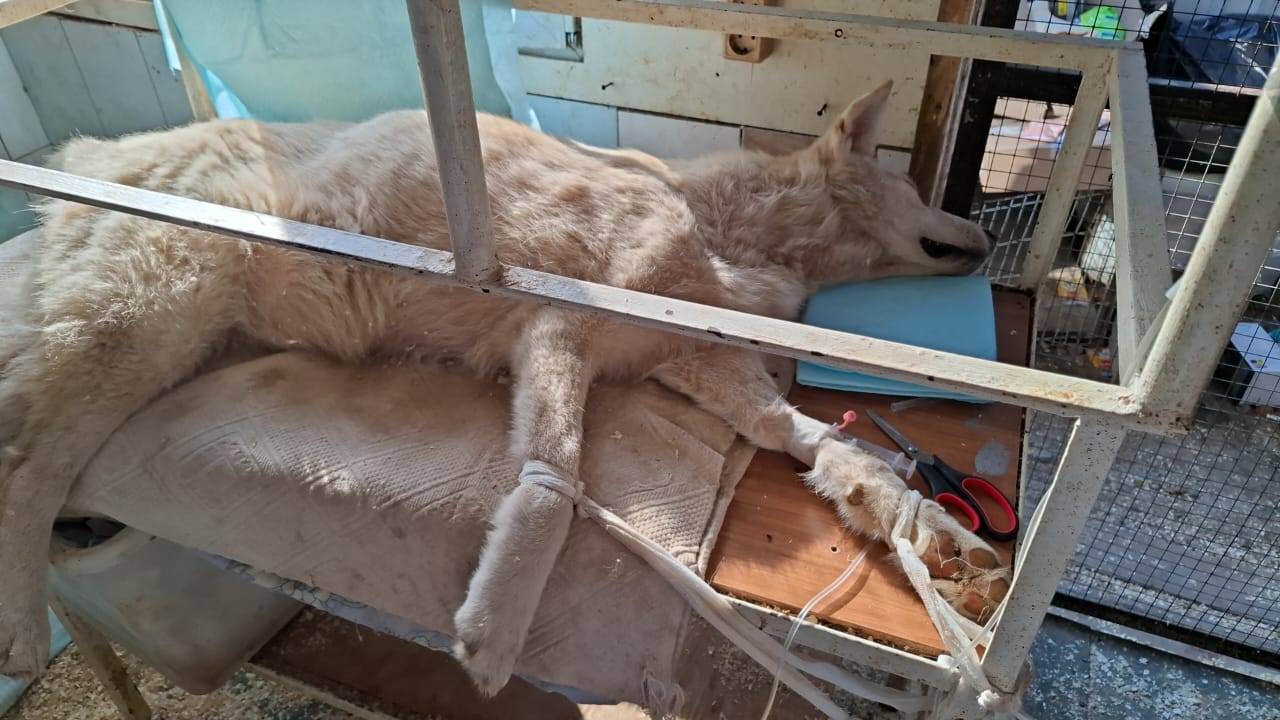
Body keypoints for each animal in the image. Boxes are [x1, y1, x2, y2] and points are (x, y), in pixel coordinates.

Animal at [0, 81, 1009, 693]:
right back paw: (18, 630)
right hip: (146, 319)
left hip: (177, 337)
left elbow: (805, 436)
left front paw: (922, 520)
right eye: (922, 188)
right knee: (28, 468)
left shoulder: (686, 362)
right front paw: (496, 628)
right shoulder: (558, 331)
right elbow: (554, 489)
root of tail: (95, 157)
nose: (989, 234)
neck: (730, 231)